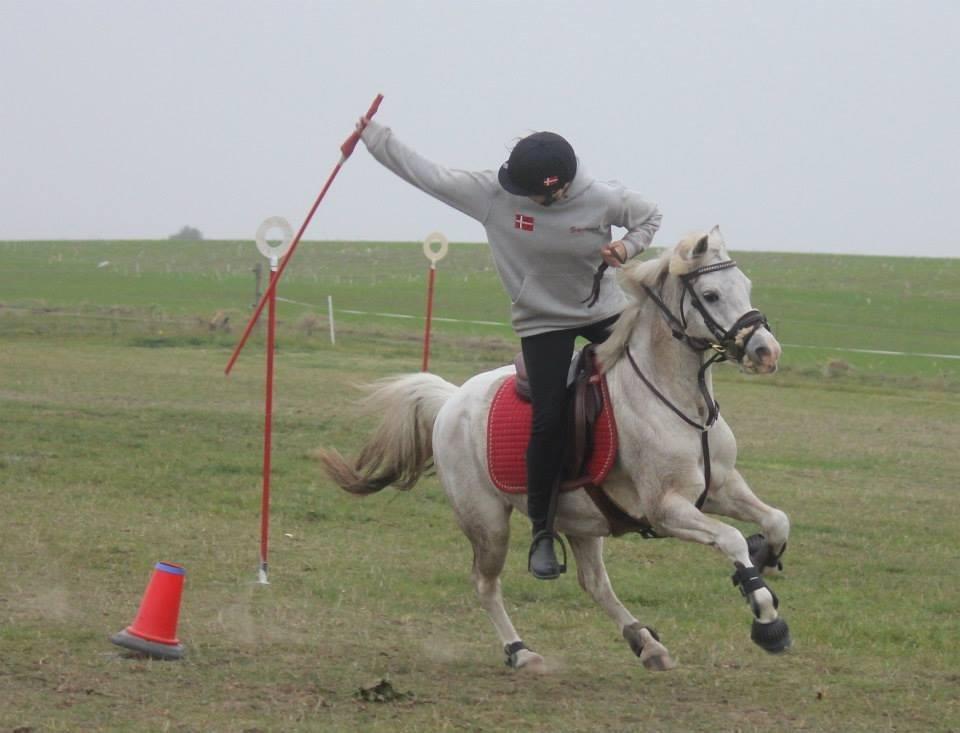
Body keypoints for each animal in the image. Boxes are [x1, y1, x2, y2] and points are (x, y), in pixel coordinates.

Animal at [318, 226, 791, 671]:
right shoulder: (667, 509)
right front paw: (766, 617)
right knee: (486, 584)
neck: (676, 400)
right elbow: (730, 538)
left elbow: (776, 520)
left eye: (746, 285)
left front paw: (764, 558)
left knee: (594, 583)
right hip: (489, 523)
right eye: (710, 294)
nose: (766, 351)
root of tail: (452, 400)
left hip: (582, 519)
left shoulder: (721, 488)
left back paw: (647, 644)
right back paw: (522, 652)